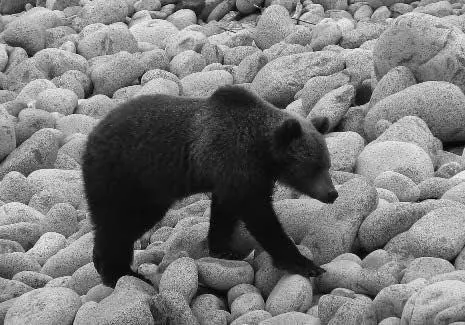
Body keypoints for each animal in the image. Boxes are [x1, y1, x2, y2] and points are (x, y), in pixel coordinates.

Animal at [81, 83, 338, 286]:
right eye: (314, 167)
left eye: (327, 164)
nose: (332, 193)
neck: (261, 151)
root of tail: (91, 136)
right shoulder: (236, 162)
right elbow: (261, 216)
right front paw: (307, 264)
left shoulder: (233, 176)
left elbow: (224, 212)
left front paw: (224, 249)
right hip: (125, 178)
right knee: (118, 225)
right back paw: (119, 273)